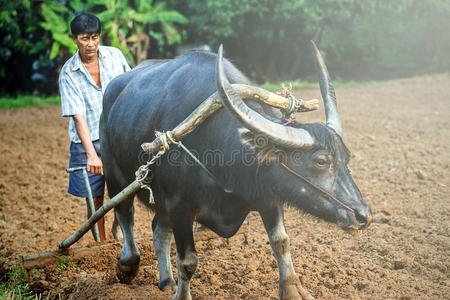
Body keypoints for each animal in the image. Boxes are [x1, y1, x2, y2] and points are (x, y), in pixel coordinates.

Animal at [101, 42, 372, 300]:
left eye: (346, 157)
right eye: (321, 161)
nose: (364, 216)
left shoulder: (269, 195)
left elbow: (281, 242)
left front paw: (293, 290)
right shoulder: (180, 207)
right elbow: (188, 261)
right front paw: (182, 294)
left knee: (159, 231)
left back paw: (167, 282)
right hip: (115, 176)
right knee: (125, 214)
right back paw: (127, 265)